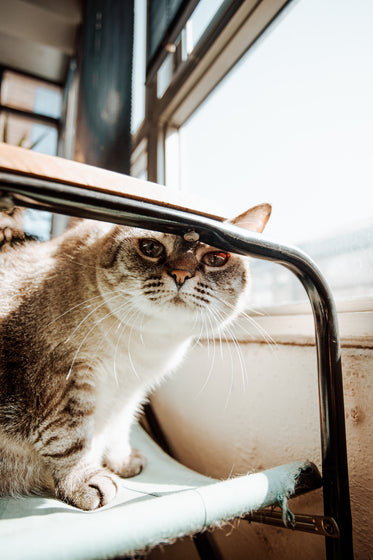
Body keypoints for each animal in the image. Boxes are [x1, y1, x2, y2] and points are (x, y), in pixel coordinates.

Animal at [0, 203, 268, 510]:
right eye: (151, 248)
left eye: (215, 258)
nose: (181, 274)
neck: (142, 347)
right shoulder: (65, 380)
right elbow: (71, 440)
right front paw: (86, 483)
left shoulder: (130, 391)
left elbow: (116, 429)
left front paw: (122, 463)